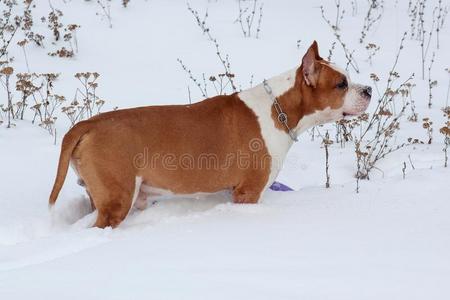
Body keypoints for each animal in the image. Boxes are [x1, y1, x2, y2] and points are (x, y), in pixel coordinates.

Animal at [50, 41, 372, 227]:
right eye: (341, 84)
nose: (368, 89)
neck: (279, 108)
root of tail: (88, 124)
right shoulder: (248, 193)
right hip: (118, 198)